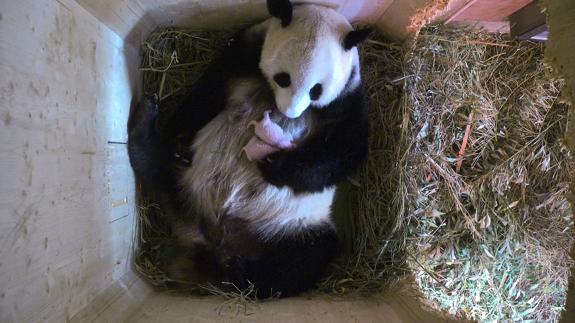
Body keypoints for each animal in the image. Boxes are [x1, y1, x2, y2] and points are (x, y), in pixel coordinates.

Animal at [129, 0, 374, 298]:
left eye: (316, 90)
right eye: (283, 78)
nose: (289, 113)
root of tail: (208, 237)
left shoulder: (347, 99)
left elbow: (345, 149)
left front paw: (275, 166)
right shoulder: (245, 52)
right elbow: (209, 89)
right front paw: (180, 136)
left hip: (294, 226)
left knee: (302, 261)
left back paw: (243, 274)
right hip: (189, 176)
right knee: (161, 166)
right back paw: (146, 125)